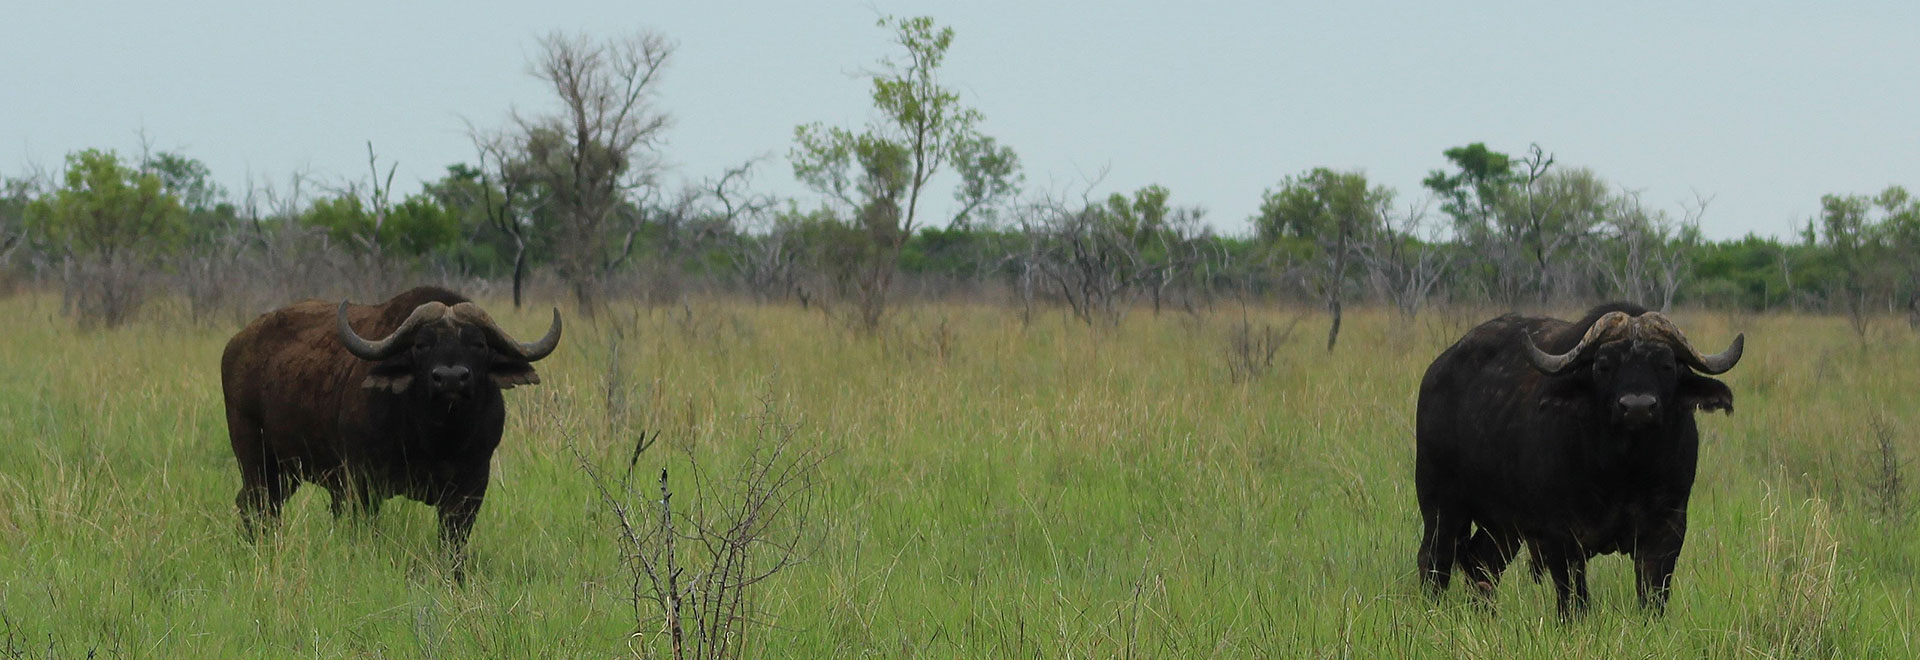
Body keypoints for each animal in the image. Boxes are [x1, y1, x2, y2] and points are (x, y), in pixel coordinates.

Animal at [220, 286, 561, 572]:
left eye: (478, 344)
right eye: (422, 345)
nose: (451, 379)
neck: (437, 438)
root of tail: (237, 344)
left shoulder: (470, 488)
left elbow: (453, 543)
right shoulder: (361, 483)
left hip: (287, 472)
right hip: (255, 459)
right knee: (257, 507)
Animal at [1414, 302, 1743, 615]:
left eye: (1666, 365)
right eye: (1604, 365)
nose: (1637, 407)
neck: (1626, 473)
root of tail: (1436, 371)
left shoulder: (1667, 531)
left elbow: (1653, 598)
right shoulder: (1561, 537)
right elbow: (1575, 602)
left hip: (1503, 525)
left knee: (1481, 562)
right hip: (1441, 505)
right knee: (1435, 560)